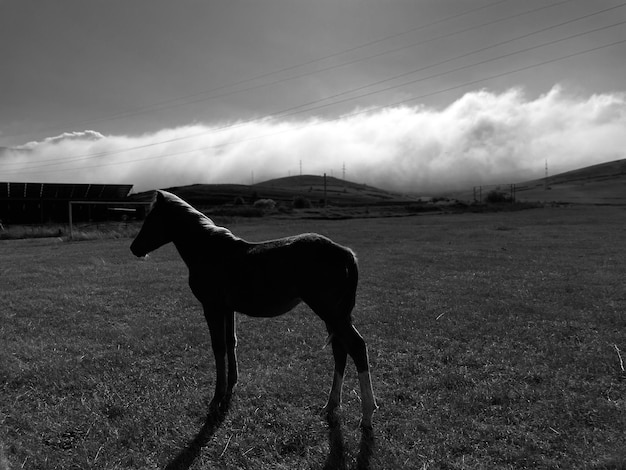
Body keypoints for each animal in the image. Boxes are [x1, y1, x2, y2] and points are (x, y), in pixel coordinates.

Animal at [129, 189, 376, 428]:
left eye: (151, 218)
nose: (134, 248)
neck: (209, 250)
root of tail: (344, 252)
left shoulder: (212, 307)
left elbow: (218, 347)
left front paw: (216, 398)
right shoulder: (227, 309)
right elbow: (231, 342)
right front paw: (231, 384)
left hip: (329, 312)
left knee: (356, 347)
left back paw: (367, 414)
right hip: (333, 315)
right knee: (340, 351)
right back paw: (331, 404)